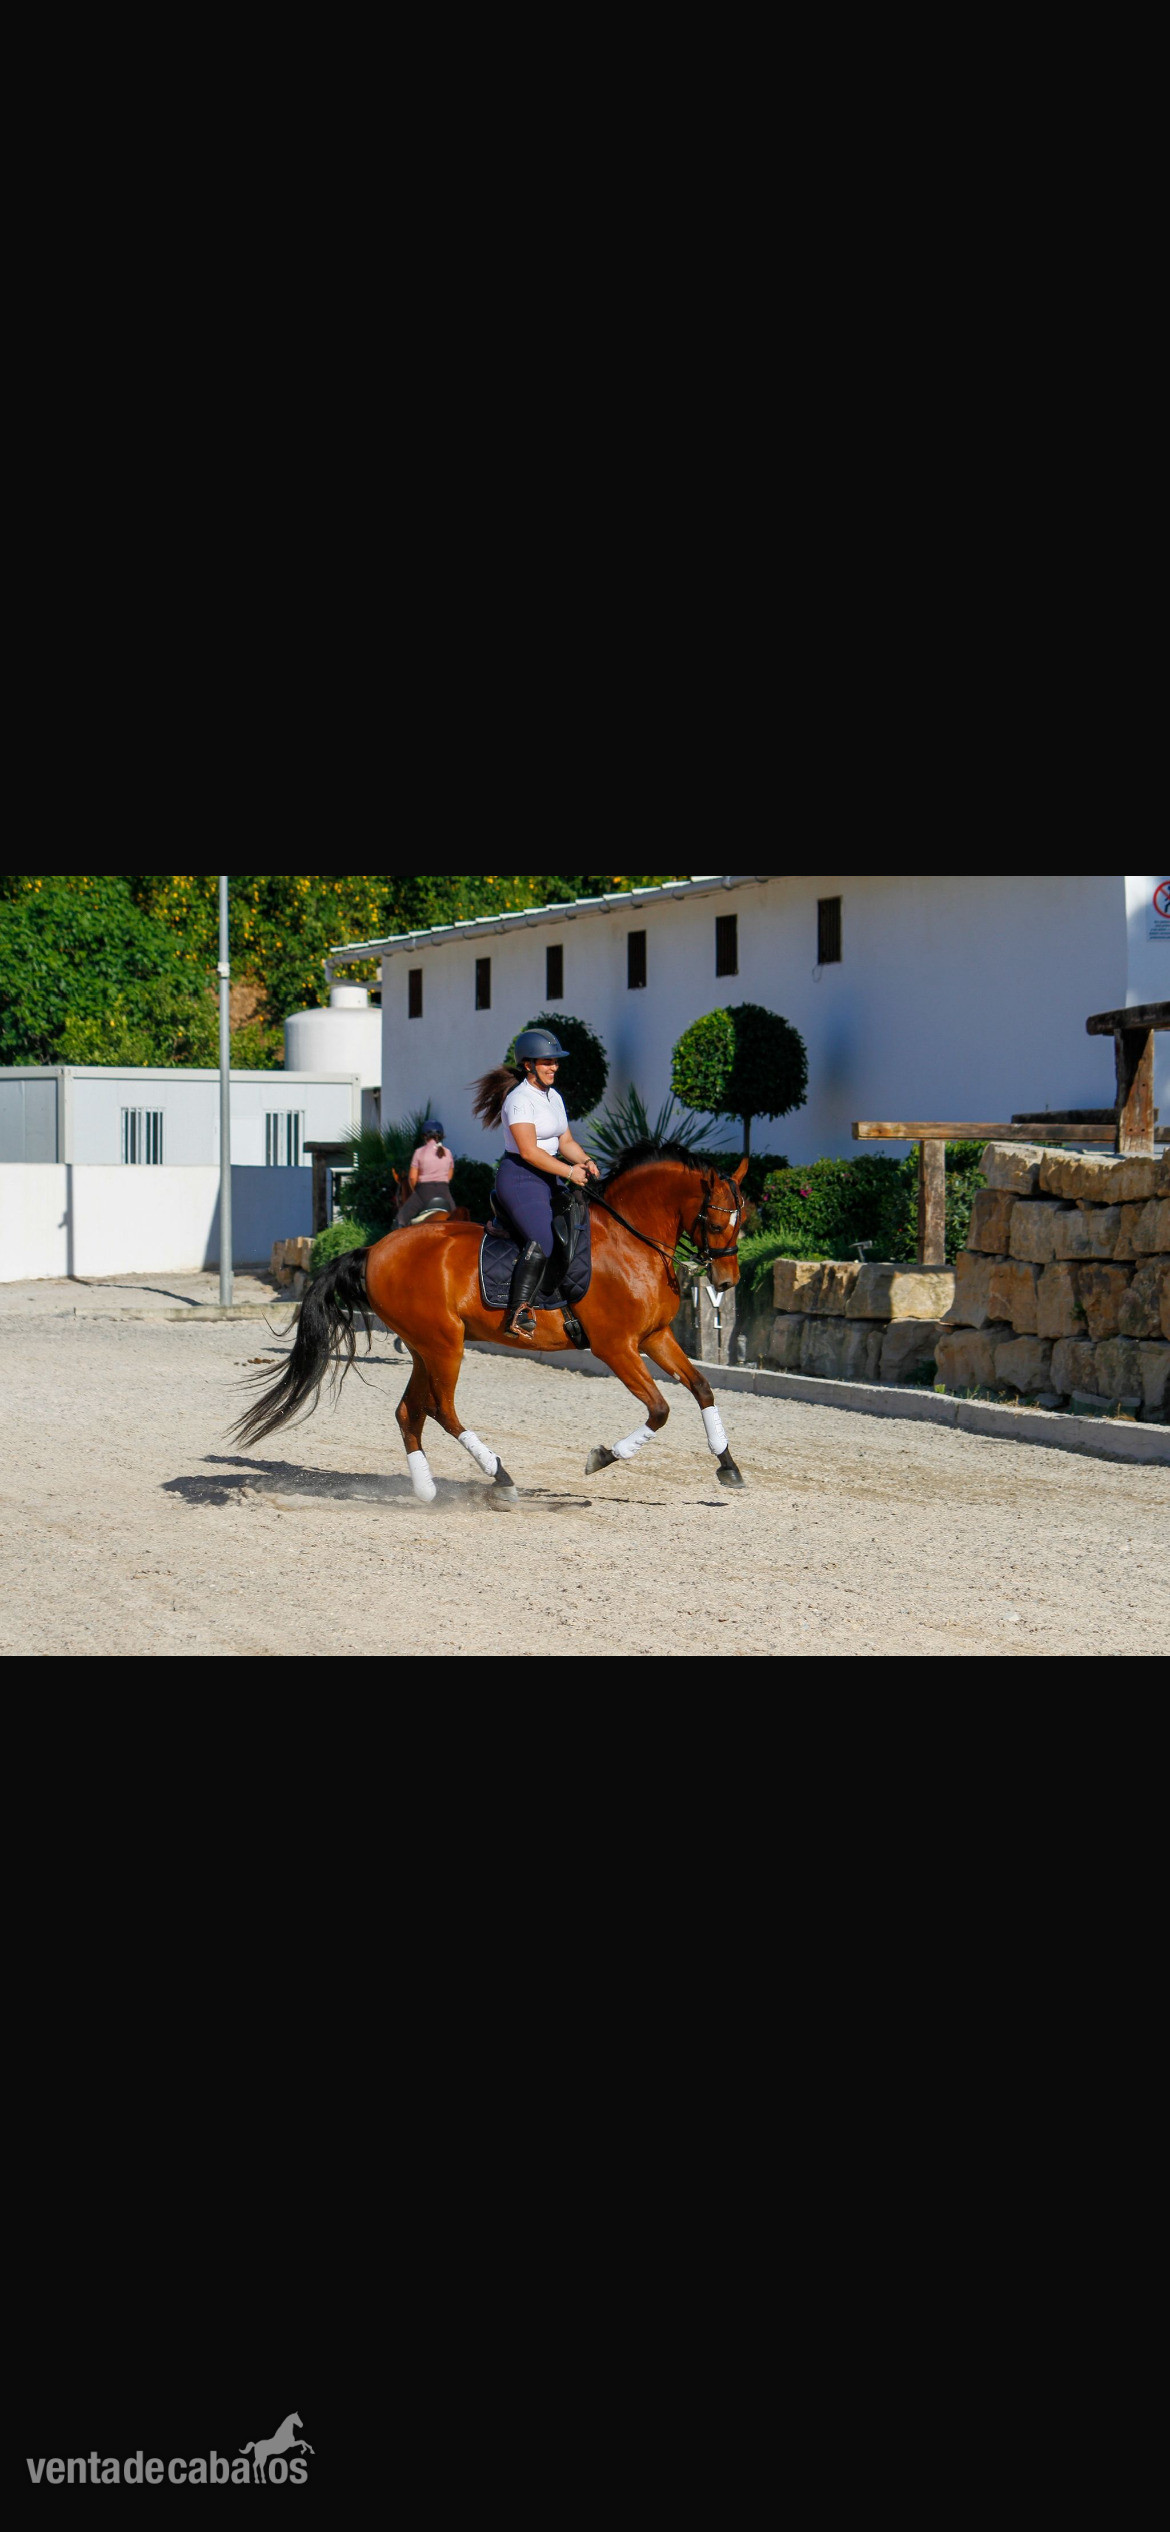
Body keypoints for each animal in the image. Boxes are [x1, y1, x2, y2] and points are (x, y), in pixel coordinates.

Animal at [232, 1140, 750, 1497]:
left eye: (742, 1222)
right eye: (716, 1221)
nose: (726, 1282)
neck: (631, 1241)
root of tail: (375, 1250)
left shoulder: (655, 1336)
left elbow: (702, 1388)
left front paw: (728, 1466)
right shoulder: (616, 1346)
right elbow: (659, 1409)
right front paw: (602, 1457)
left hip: (427, 1347)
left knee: (410, 1412)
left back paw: (426, 1491)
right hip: (445, 1346)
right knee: (441, 1409)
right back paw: (500, 1476)